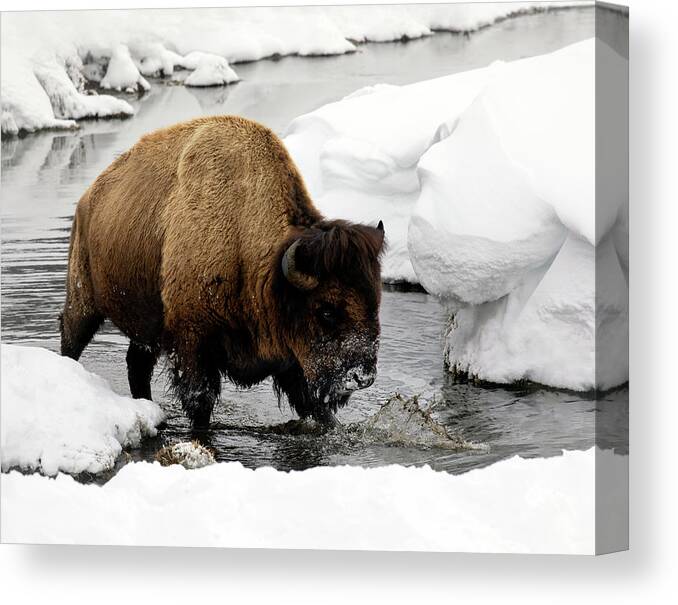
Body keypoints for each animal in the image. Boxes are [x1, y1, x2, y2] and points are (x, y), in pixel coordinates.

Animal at [60, 113, 386, 424]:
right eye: (326, 311)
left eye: (375, 303)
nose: (363, 377)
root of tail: (87, 200)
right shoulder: (193, 342)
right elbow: (200, 403)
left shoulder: (292, 360)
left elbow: (316, 408)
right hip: (83, 300)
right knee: (71, 339)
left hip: (145, 325)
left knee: (136, 365)